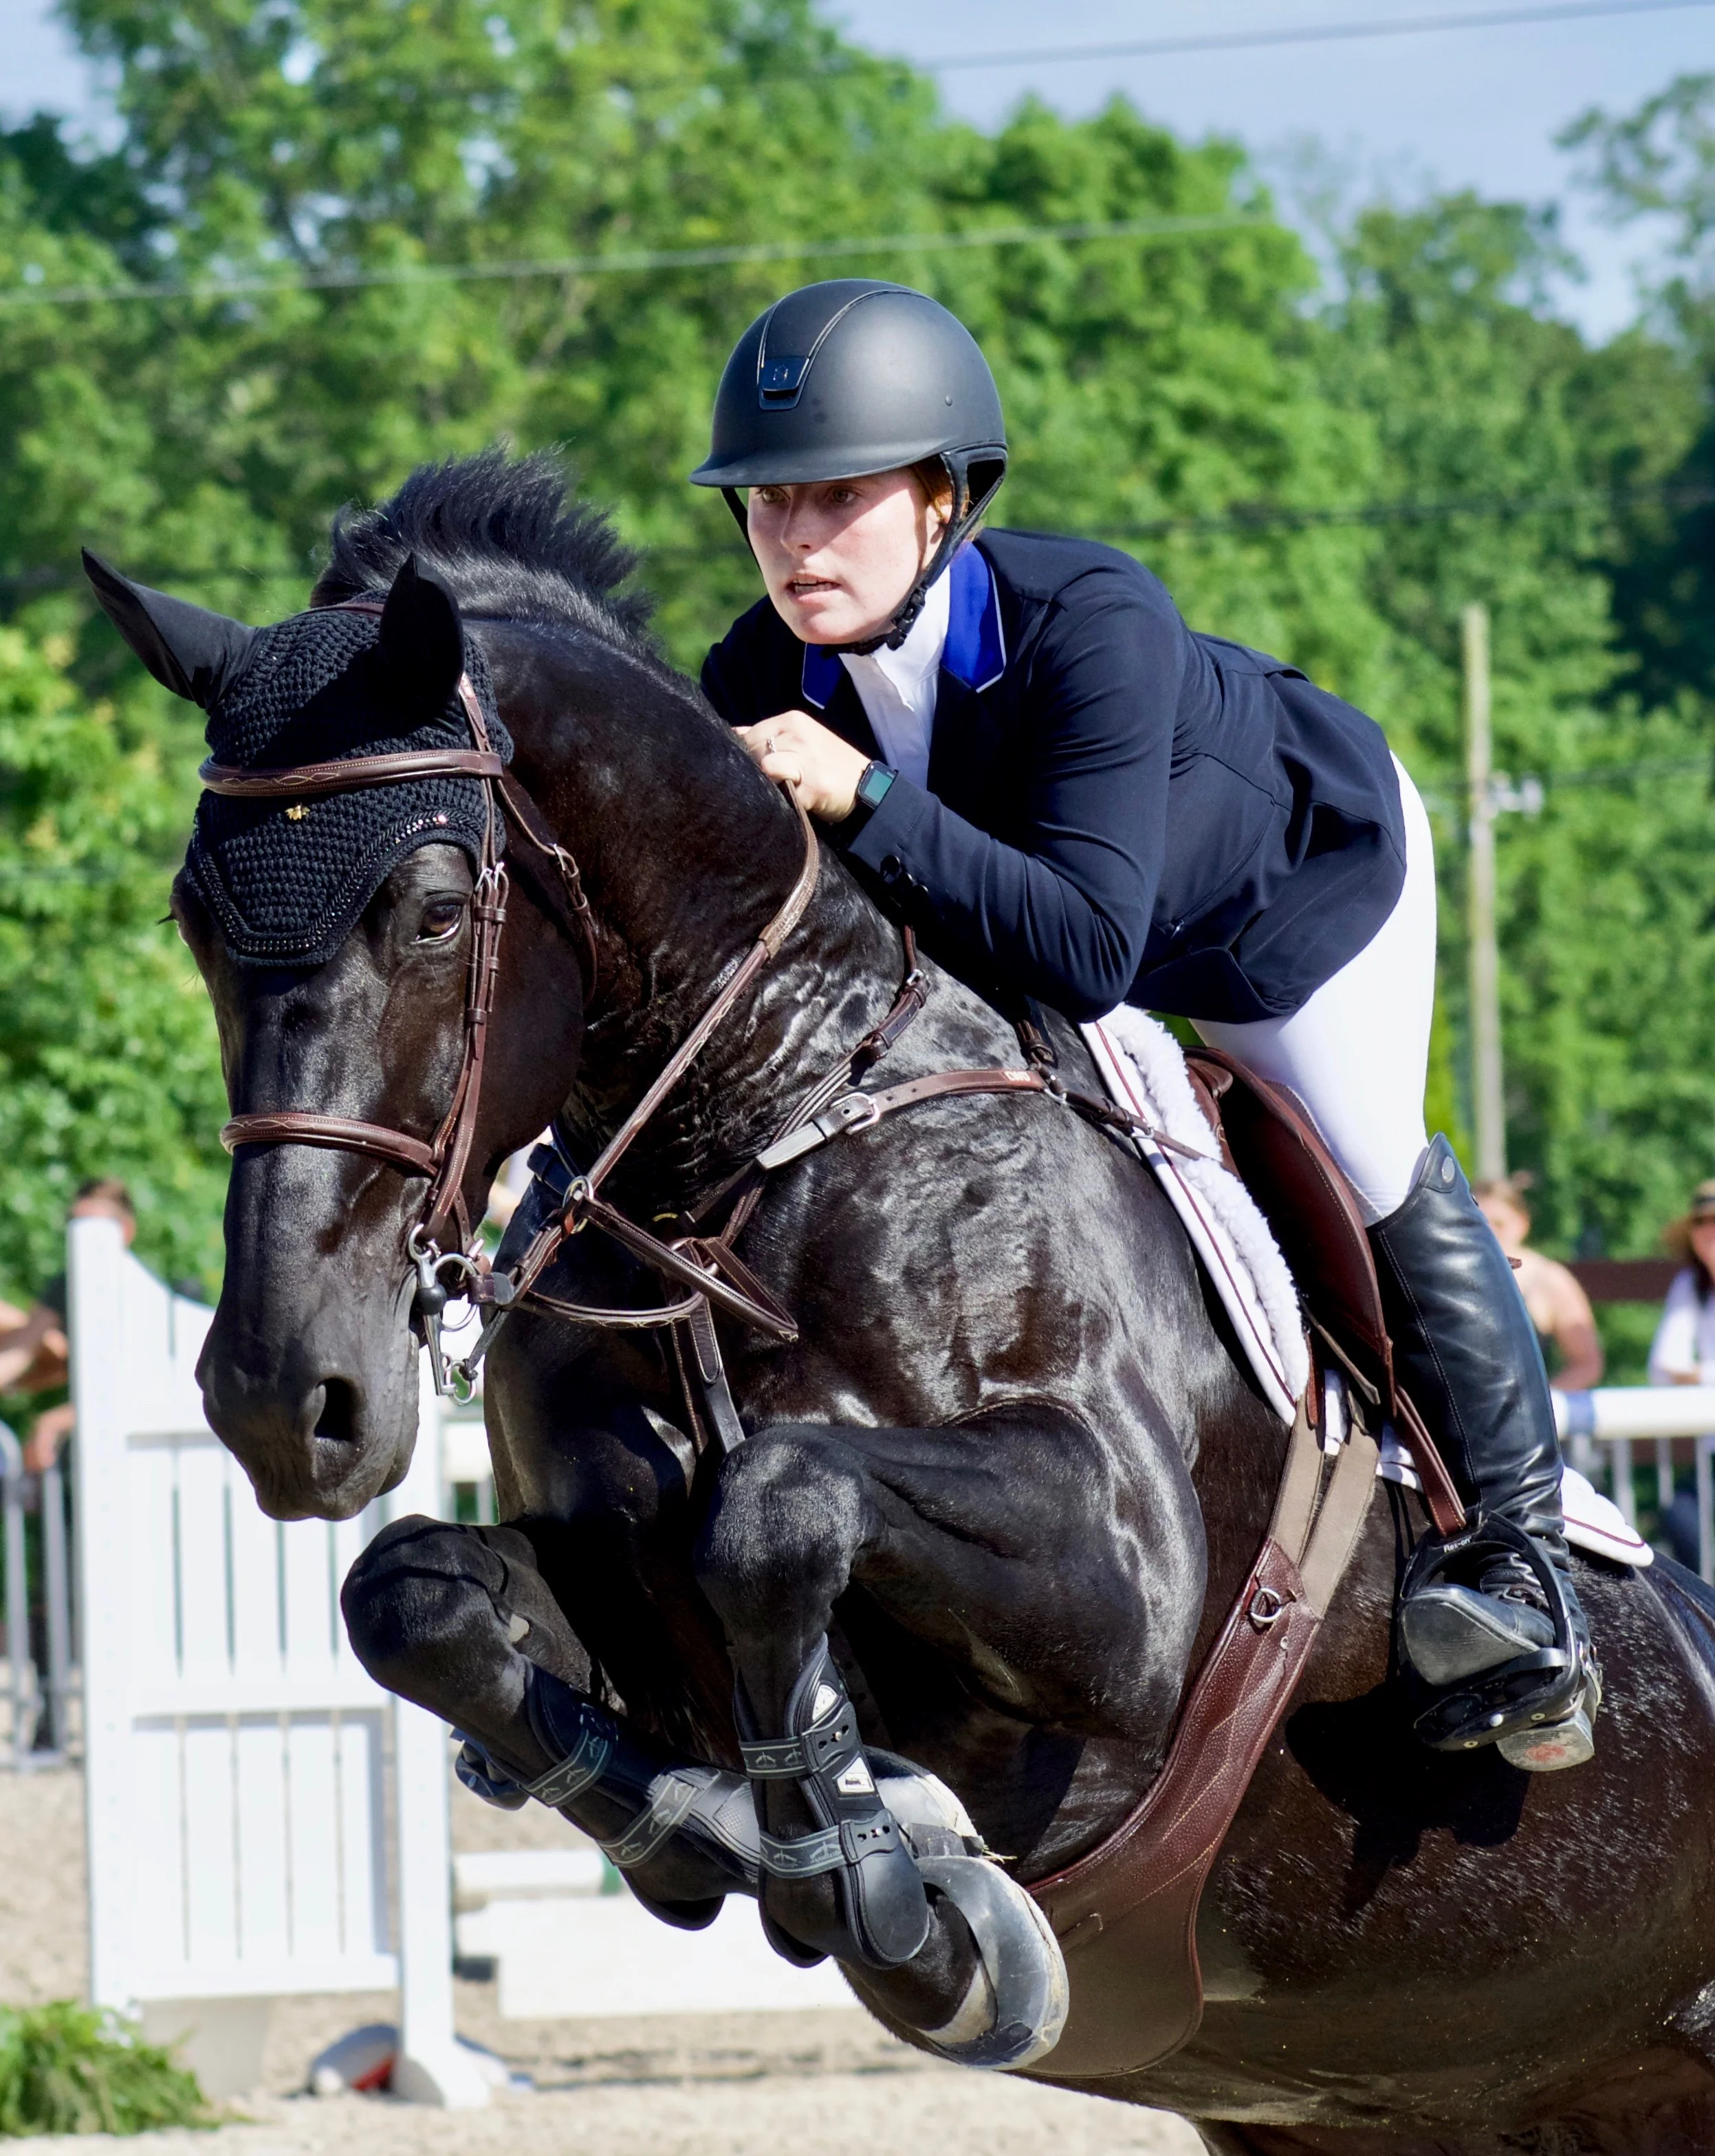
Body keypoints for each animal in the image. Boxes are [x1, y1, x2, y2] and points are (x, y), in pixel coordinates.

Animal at [93, 449, 1715, 2153]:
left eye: (430, 908)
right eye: (192, 917)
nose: (284, 1400)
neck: (751, 1135)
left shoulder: (1126, 1601)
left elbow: (773, 1502)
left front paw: (884, 1893)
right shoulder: (596, 1559)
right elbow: (411, 1594)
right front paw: (686, 1832)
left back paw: (1502, 1610)